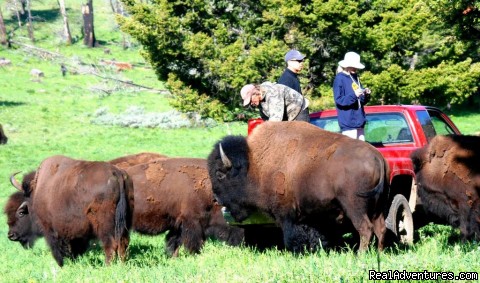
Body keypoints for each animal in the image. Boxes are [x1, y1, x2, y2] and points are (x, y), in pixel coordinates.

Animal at [208, 122, 388, 253]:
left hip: (354, 206)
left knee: (365, 228)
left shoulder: (286, 213)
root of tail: (377, 156)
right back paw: (379, 253)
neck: (254, 164)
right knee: (380, 228)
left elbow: (290, 234)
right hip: (377, 206)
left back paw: (360, 255)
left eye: (220, 174)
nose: (216, 199)